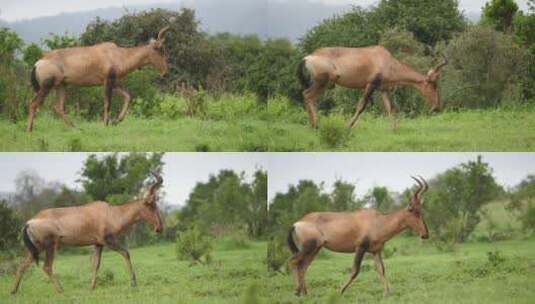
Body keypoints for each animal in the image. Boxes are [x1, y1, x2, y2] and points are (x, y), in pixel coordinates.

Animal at [9, 172, 164, 294]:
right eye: (151, 205)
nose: (159, 228)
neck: (110, 213)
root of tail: (29, 222)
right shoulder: (108, 241)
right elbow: (126, 253)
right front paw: (133, 283)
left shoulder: (98, 244)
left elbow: (95, 264)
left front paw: (92, 287)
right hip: (49, 246)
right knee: (46, 266)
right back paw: (60, 290)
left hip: (36, 247)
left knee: (22, 264)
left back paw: (13, 291)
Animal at [26, 26, 171, 131]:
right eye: (160, 50)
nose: (165, 73)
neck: (117, 54)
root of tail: (39, 62)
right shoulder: (108, 81)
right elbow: (107, 103)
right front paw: (106, 123)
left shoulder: (113, 83)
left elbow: (128, 96)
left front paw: (116, 121)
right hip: (46, 86)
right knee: (33, 103)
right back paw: (29, 129)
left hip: (61, 85)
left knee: (58, 106)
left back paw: (75, 128)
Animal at [286, 176, 430, 296]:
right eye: (414, 211)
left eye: (421, 210)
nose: (425, 235)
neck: (377, 221)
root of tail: (296, 223)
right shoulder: (360, 247)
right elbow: (355, 271)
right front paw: (340, 291)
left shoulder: (376, 251)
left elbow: (381, 269)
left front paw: (387, 293)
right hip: (308, 247)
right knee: (293, 261)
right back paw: (297, 291)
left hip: (315, 249)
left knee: (303, 266)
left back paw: (305, 293)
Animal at [298, 46, 448, 128]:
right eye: (434, 84)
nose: (436, 107)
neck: (385, 59)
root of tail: (308, 57)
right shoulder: (371, 85)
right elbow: (361, 106)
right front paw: (347, 126)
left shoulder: (383, 89)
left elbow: (390, 108)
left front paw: (394, 129)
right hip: (323, 82)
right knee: (308, 95)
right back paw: (316, 125)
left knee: (307, 95)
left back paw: (312, 125)